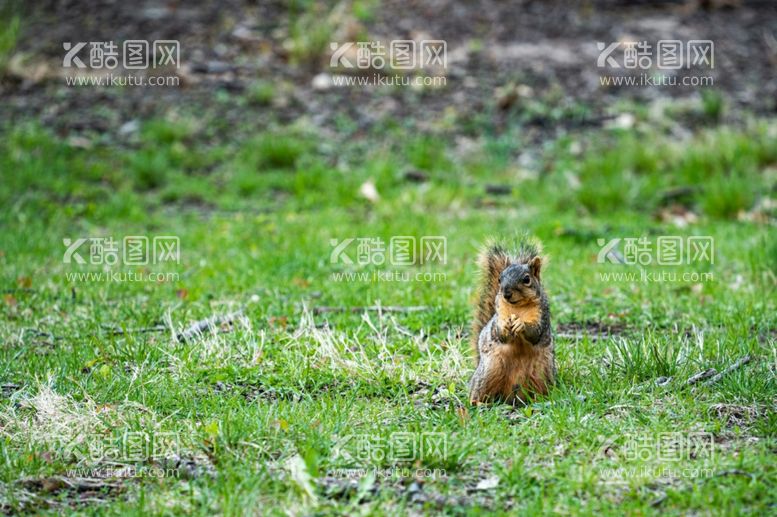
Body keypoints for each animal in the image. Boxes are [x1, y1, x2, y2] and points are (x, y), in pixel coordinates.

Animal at [466, 236, 552, 406]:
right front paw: (505, 325)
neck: (517, 308)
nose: (506, 293)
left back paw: (542, 400)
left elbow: (535, 333)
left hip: (541, 373)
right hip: (489, 372)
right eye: (499, 279)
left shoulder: (542, 317)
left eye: (526, 279)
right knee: (477, 392)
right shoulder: (499, 315)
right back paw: (478, 402)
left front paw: (521, 324)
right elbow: (499, 334)